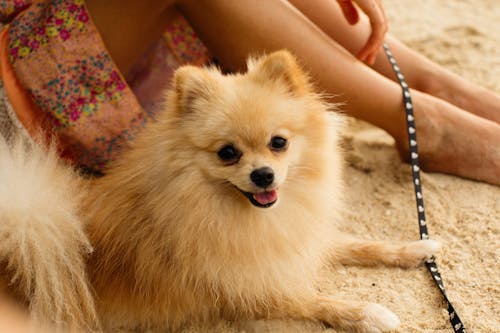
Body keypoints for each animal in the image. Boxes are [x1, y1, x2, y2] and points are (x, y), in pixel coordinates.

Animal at [0, 50, 438, 330]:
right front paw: (370, 314)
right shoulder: (249, 286)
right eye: (228, 153)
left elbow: (356, 243)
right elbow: (314, 300)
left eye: (279, 143)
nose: (263, 175)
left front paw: (415, 249)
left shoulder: (292, 240)